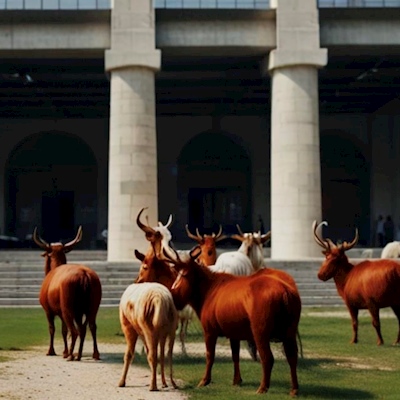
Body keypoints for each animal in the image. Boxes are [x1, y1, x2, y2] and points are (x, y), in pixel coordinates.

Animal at [33, 227, 101, 360]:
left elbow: (53, 329)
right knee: (89, 327)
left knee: (74, 331)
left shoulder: (48, 310)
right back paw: (88, 354)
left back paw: (71, 355)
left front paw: (52, 351)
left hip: (67, 306)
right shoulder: (72, 312)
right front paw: (64, 351)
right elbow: (64, 330)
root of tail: (84, 275)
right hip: (93, 305)